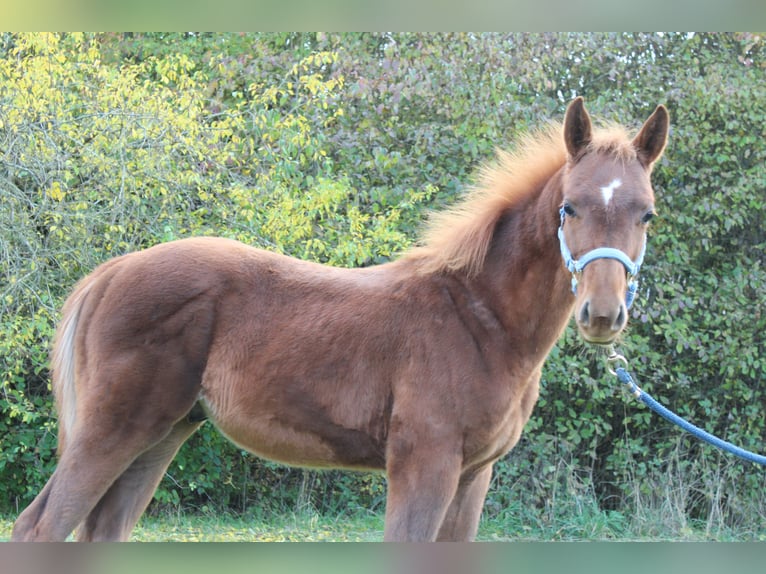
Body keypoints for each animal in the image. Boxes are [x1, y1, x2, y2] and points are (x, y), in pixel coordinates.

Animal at [12, 97, 669, 542]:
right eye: (569, 208)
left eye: (647, 214)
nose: (602, 314)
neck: (479, 317)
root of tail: (109, 272)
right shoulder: (423, 463)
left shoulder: (473, 475)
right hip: (114, 428)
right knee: (38, 528)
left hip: (163, 432)